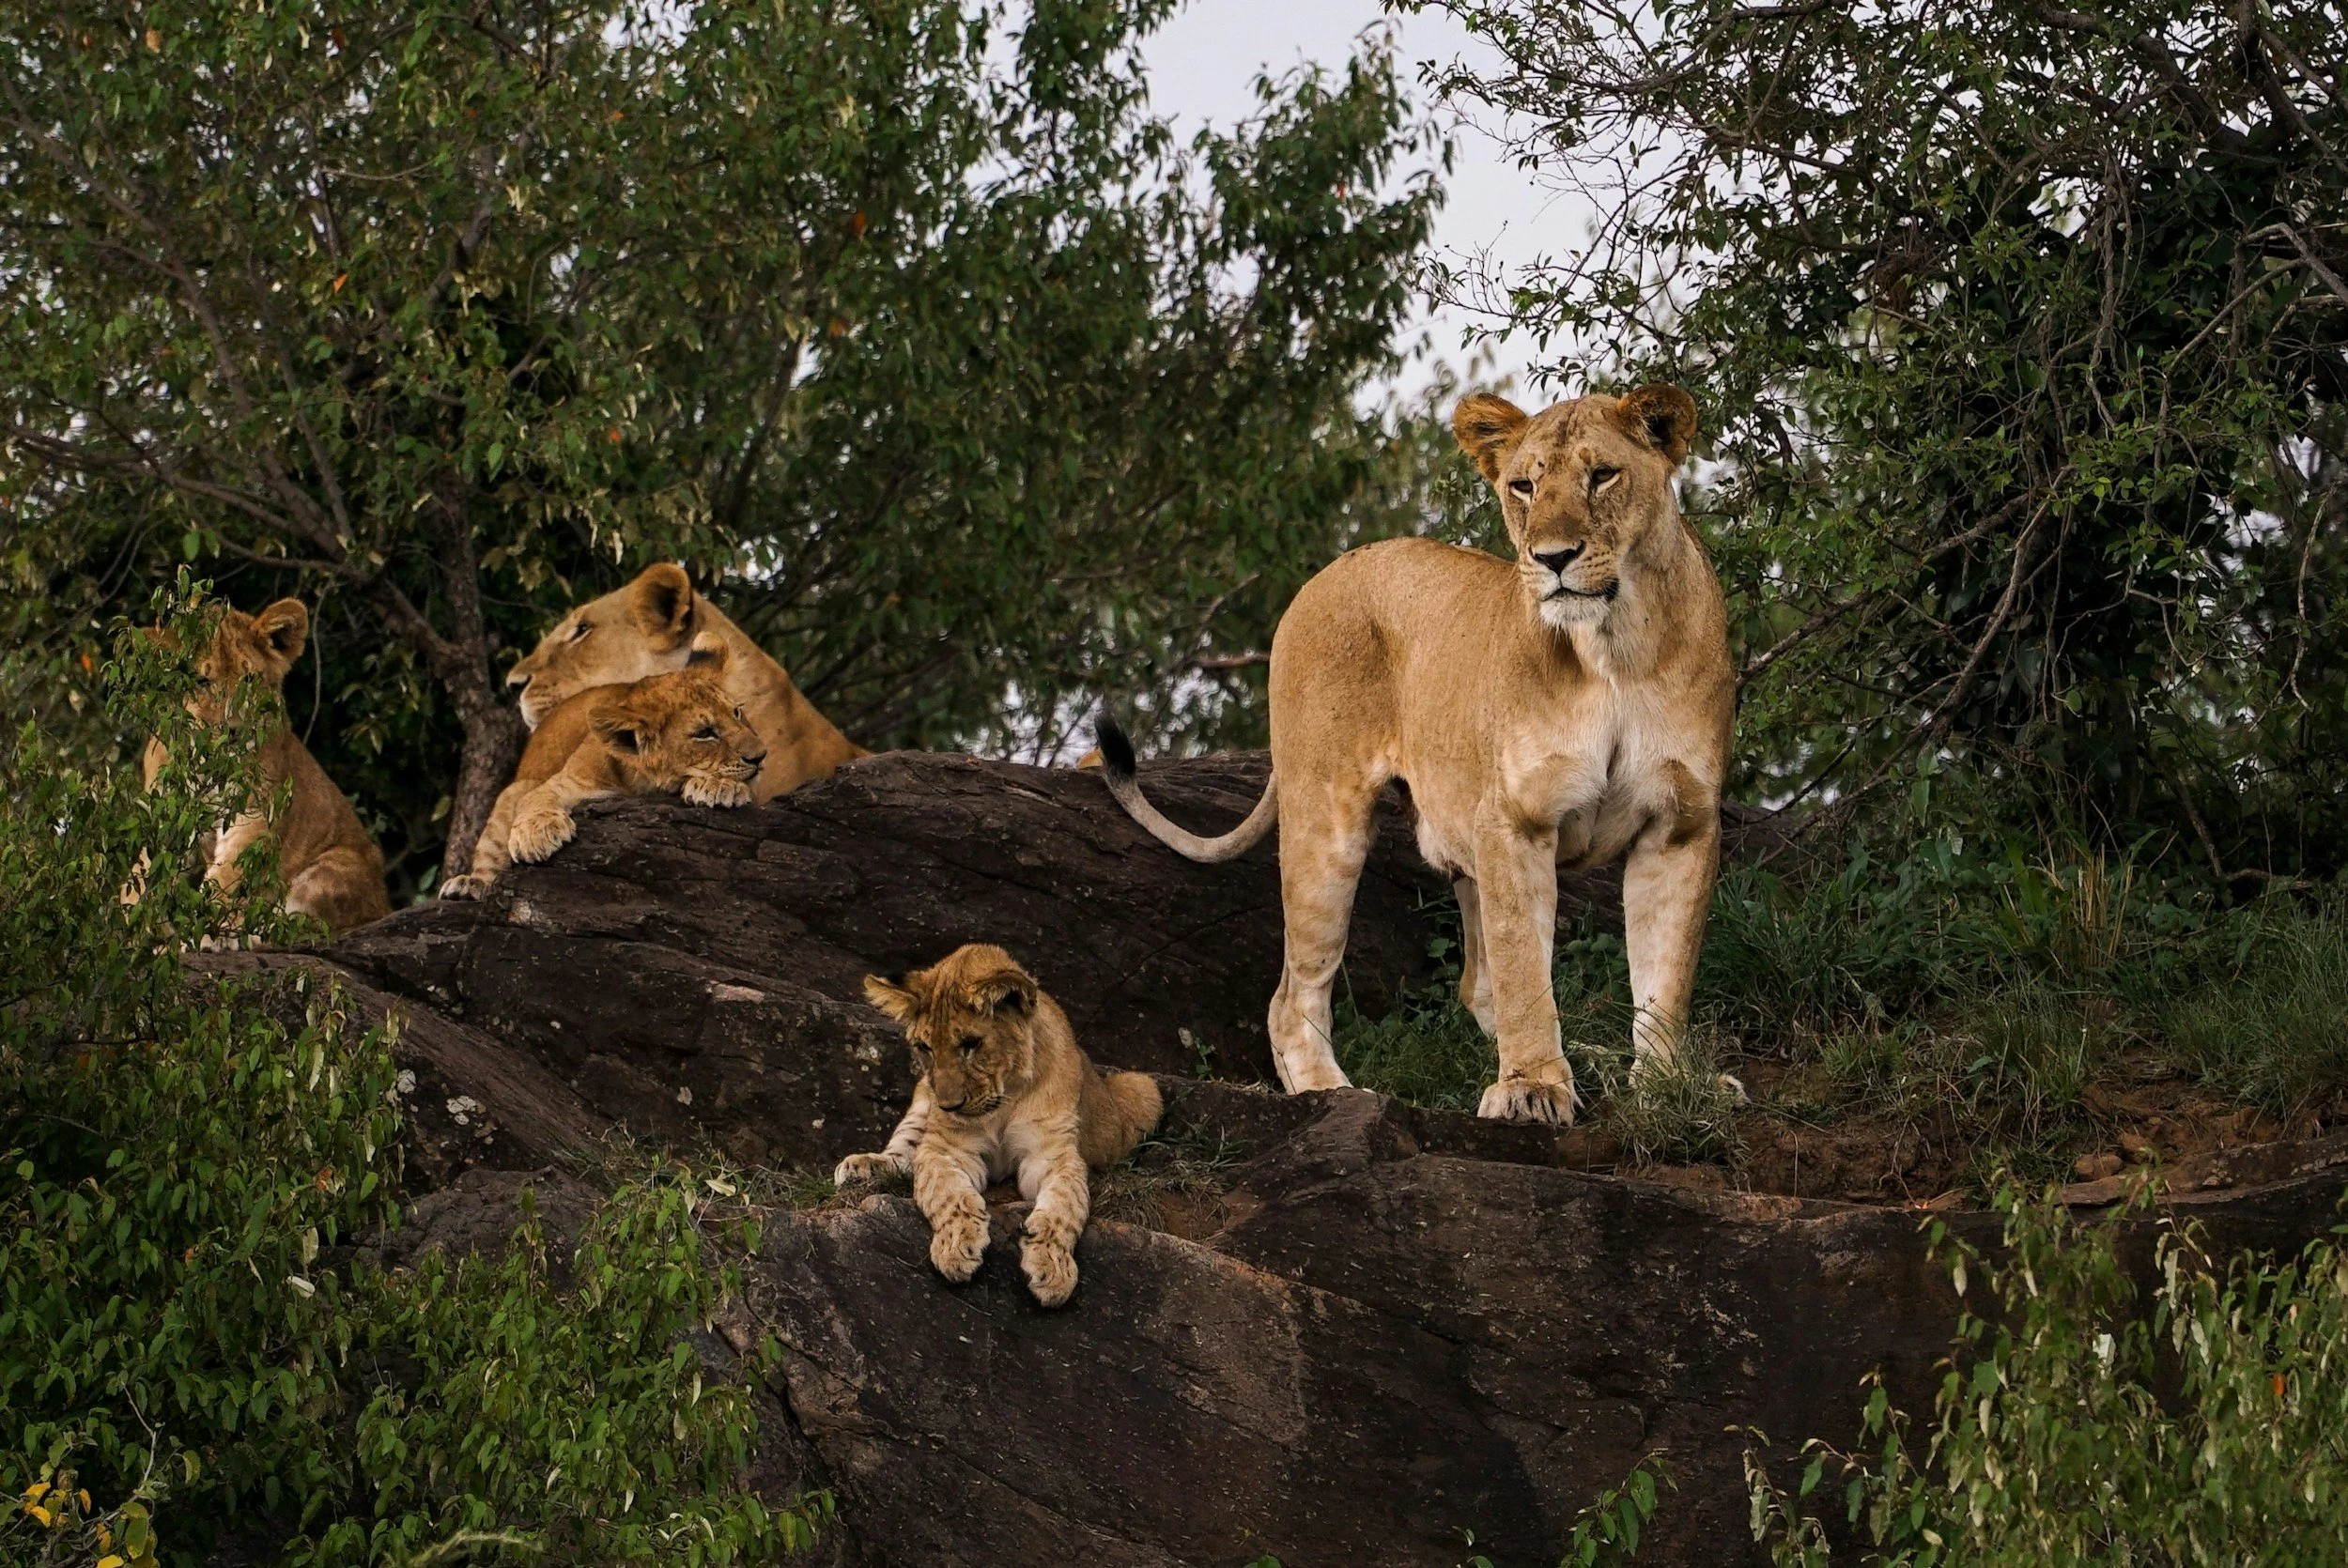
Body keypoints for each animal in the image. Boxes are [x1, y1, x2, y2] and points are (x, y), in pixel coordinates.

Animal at [140, 599, 392, 936]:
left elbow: (226, 879)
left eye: (250, 679)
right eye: (203, 682)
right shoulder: (164, 813)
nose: (232, 731)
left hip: (337, 867)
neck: (206, 764)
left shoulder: (256, 814)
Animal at [440, 636, 767, 898]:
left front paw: (720, 787)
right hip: (512, 792)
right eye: (704, 733)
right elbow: (537, 799)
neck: (641, 782)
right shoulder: (566, 782)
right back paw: (468, 885)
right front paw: (537, 836)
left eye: (737, 713)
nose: (761, 756)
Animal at [837, 944, 1163, 1308]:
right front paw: (957, 1246)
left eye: (971, 1043)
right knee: (905, 1151)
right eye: (924, 1047)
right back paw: (861, 1167)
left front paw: (1052, 1267)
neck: (1005, 1097)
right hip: (923, 1096)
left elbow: (1063, 1207)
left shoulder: (1051, 1154)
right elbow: (949, 1194)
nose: (948, 1105)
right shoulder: (946, 1149)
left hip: (1143, 1086)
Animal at [1096, 386, 1733, 1125]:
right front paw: (1535, 1089)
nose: (1552, 557)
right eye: (1524, 486)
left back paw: (1588, 1057)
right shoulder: (1513, 820)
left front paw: (1666, 1087)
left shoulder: (1681, 822)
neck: (1613, 649)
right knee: (1294, 996)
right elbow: (1524, 968)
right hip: (1327, 824)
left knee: (1476, 982)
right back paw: (1335, 1094)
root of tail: (1325, 572)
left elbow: (1664, 974)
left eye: (1602, 475)